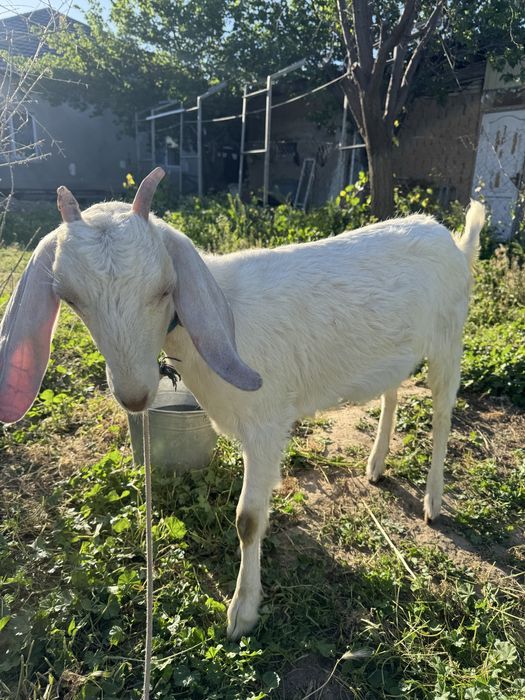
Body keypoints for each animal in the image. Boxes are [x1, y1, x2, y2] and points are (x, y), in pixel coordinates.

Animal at [0, 168, 485, 639]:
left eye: (164, 289)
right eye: (70, 297)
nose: (135, 394)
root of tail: (451, 239)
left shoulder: (268, 424)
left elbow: (248, 520)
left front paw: (242, 613)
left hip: (450, 337)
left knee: (443, 413)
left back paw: (433, 501)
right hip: (392, 352)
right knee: (391, 391)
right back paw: (377, 464)